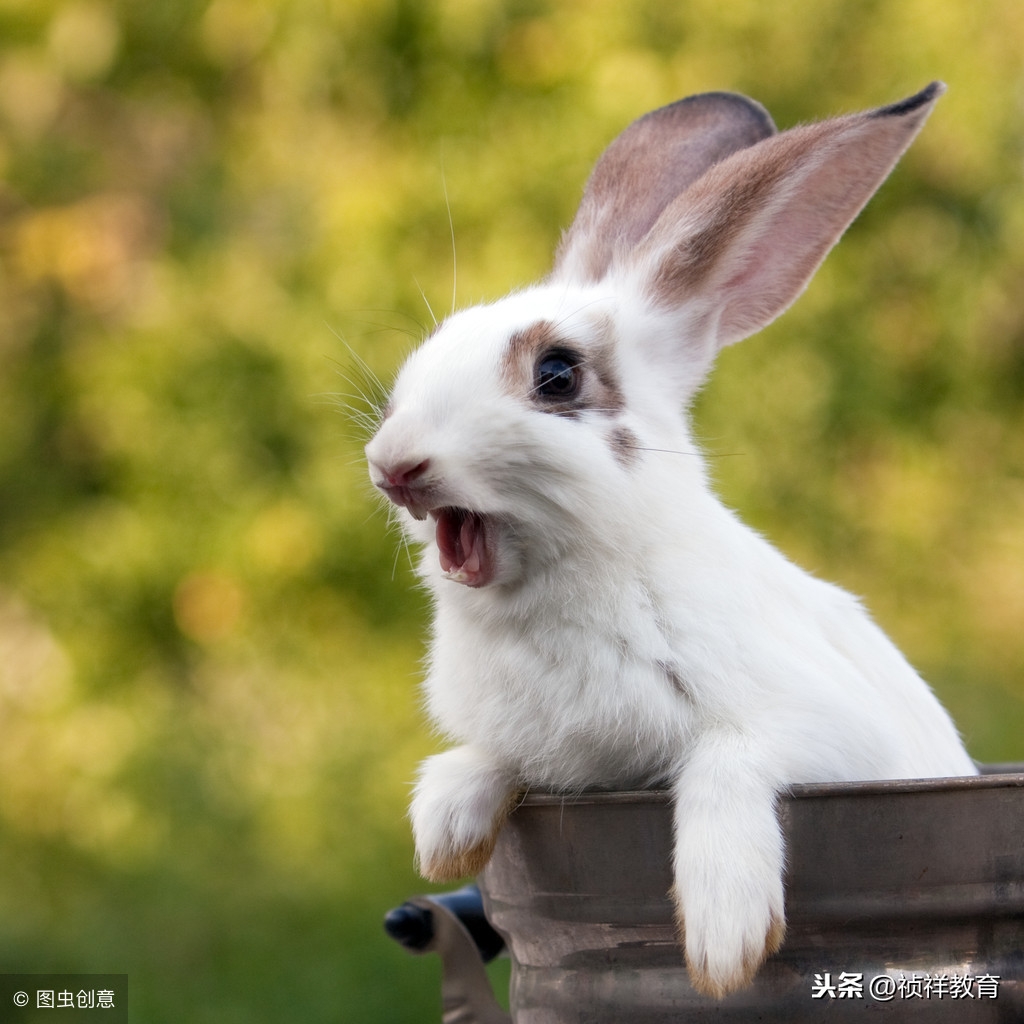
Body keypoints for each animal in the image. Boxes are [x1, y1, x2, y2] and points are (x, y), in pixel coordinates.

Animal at [362, 83, 974, 995]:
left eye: (557, 375)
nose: (392, 465)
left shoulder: (827, 732)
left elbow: (727, 758)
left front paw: (724, 939)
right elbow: (492, 757)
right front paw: (444, 824)